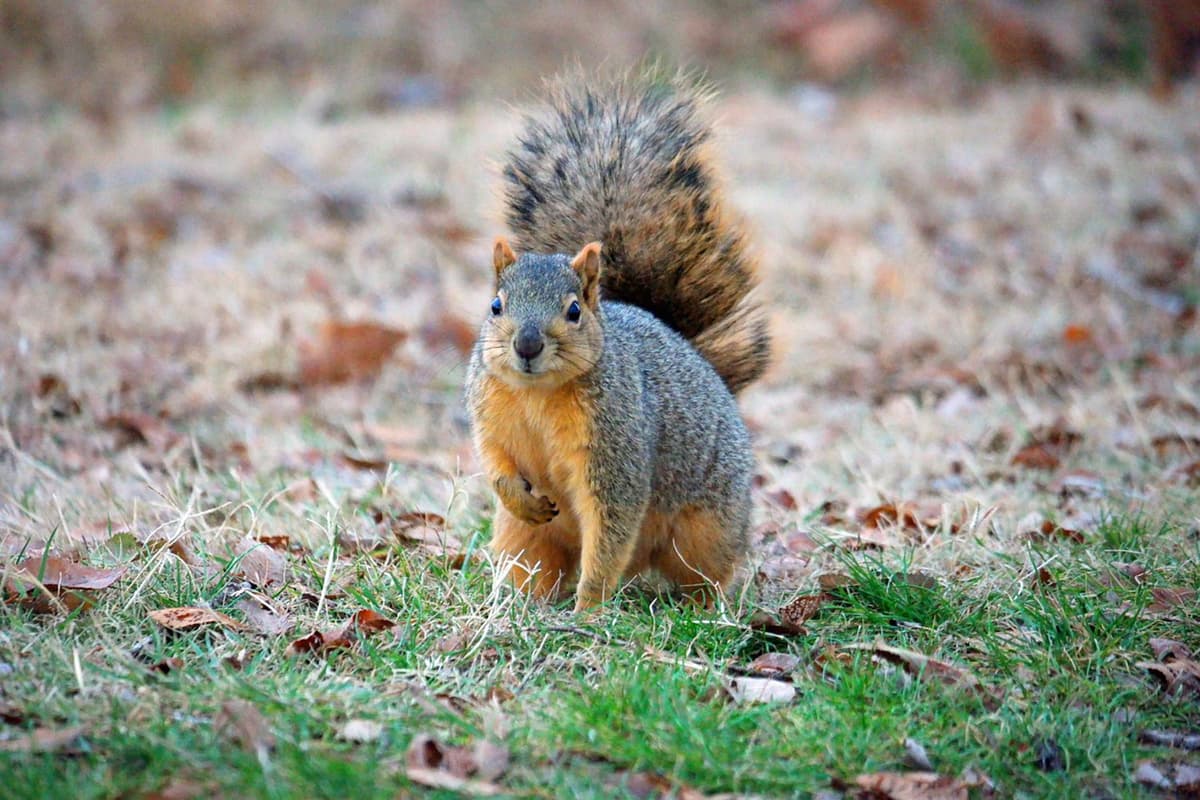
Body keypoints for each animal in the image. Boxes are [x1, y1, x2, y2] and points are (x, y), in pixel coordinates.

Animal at [464, 71, 770, 612]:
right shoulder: (491, 415)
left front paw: (588, 609)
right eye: (496, 306)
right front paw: (519, 495)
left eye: (573, 311)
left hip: (707, 528)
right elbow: (496, 463)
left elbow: (609, 527)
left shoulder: (617, 449)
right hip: (524, 539)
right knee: (532, 560)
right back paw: (519, 603)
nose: (526, 345)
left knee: (705, 571)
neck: (537, 395)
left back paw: (705, 610)